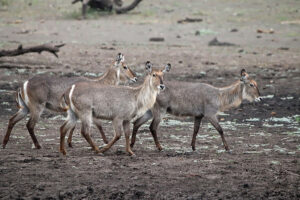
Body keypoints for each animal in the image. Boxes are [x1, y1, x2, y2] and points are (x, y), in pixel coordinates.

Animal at [2, 52, 136, 148]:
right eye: (125, 66)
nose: (135, 78)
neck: (98, 83)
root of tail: (23, 84)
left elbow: (74, 125)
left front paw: (70, 142)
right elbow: (98, 124)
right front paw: (106, 141)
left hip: (24, 108)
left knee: (12, 120)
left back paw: (4, 143)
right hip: (37, 108)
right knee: (29, 125)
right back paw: (38, 145)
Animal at [131, 69, 260, 152]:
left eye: (256, 83)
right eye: (251, 84)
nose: (260, 98)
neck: (219, 95)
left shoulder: (198, 115)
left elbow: (195, 130)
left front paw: (193, 147)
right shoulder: (210, 114)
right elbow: (220, 129)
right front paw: (227, 148)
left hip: (149, 111)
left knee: (136, 123)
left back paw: (132, 145)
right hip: (160, 111)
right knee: (152, 127)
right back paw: (160, 147)